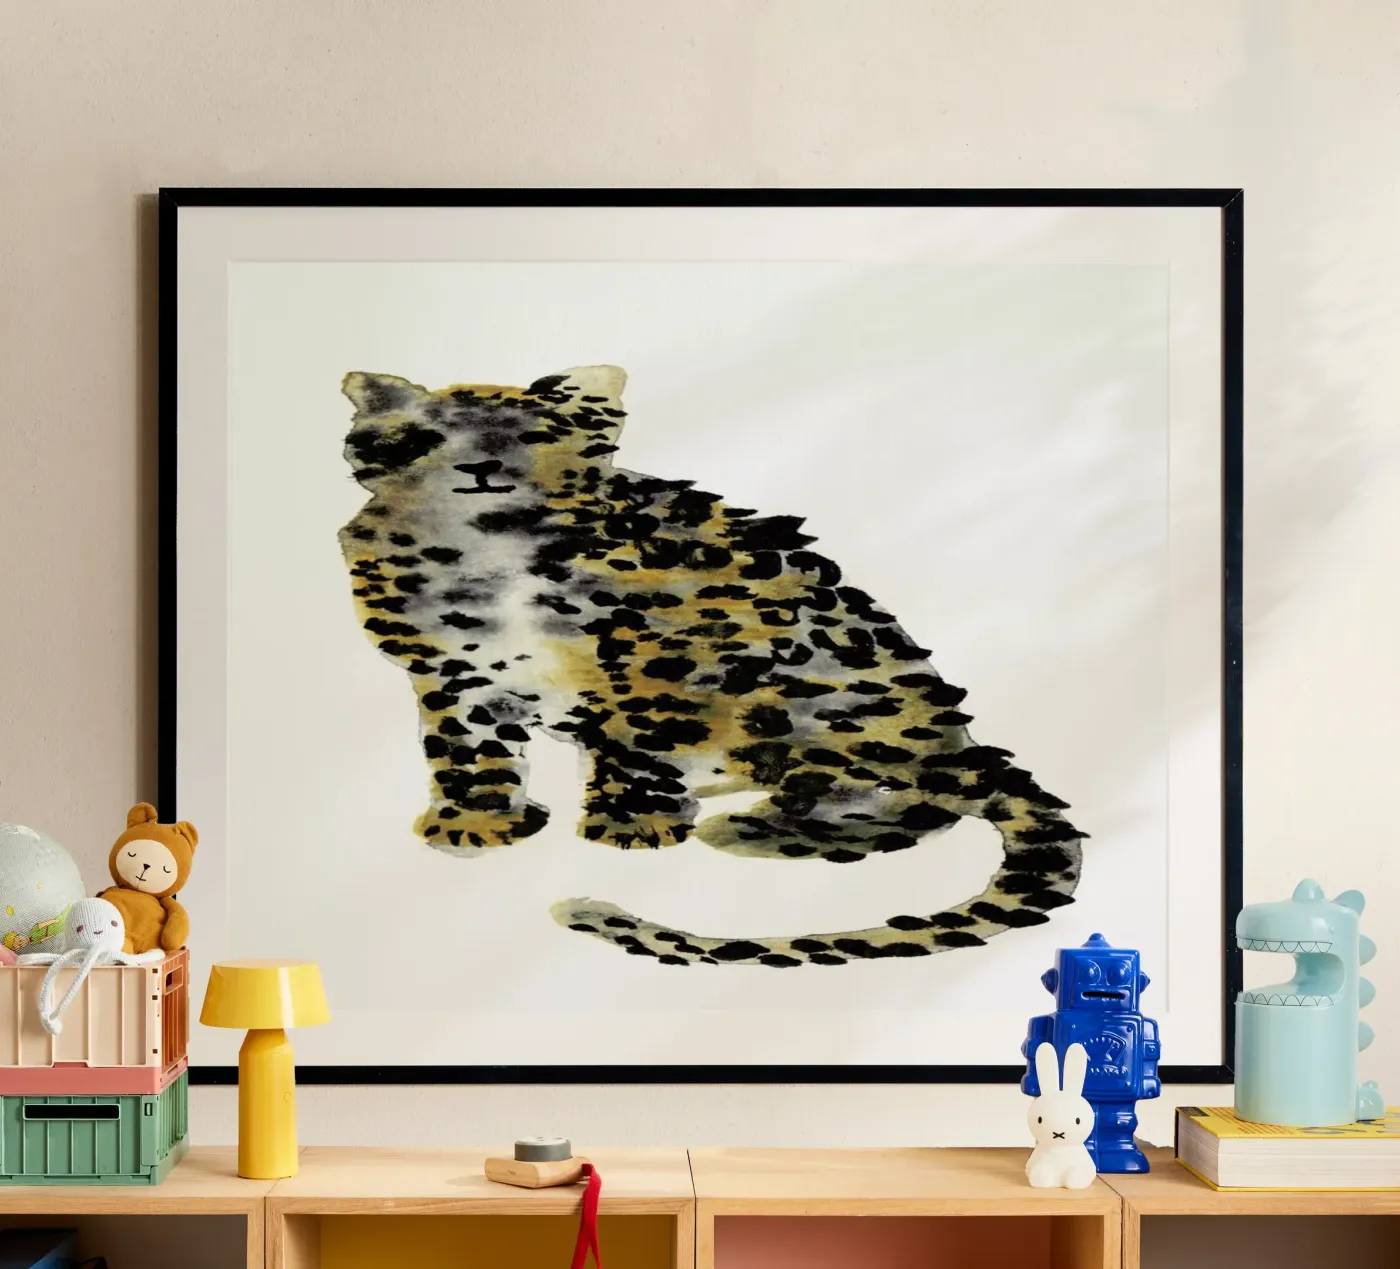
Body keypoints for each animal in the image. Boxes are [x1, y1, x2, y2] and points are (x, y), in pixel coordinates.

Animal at [338, 364, 1086, 966]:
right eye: (427, 437)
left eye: (530, 436)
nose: (482, 470)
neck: (479, 555)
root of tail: (961, 742)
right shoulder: (451, 674)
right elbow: (468, 751)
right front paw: (478, 822)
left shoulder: (646, 659)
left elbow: (632, 740)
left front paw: (631, 823)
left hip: (834, 690)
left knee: (914, 798)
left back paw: (746, 827)